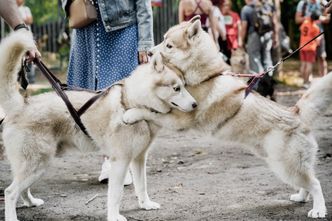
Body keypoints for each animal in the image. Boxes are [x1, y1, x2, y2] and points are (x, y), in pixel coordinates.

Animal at [0, 30, 197, 221]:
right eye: (176, 88)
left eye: (184, 86)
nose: (195, 104)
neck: (132, 102)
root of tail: (22, 104)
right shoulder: (120, 162)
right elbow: (116, 195)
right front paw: (114, 216)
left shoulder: (139, 159)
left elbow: (142, 186)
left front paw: (146, 205)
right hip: (37, 164)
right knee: (10, 192)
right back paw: (13, 216)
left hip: (37, 166)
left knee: (22, 190)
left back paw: (31, 202)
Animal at [124, 16, 332, 218]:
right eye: (162, 39)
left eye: (168, 45)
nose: (149, 53)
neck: (203, 77)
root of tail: (294, 112)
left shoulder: (179, 119)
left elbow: (150, 111)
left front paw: (130, 114)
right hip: (289, 166)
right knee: (308, 181)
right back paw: (301, 197)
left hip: (285, 166)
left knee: (315, 184)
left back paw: (318, 210)